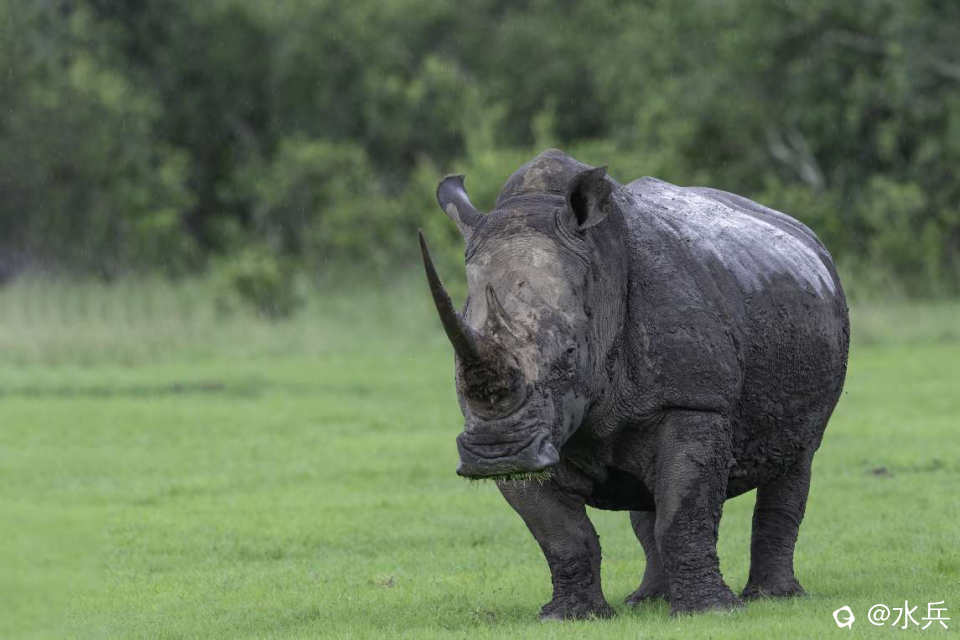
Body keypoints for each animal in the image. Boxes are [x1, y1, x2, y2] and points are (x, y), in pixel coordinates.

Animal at [418, 149, 849, 620]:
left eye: (571, 351)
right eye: (455, 363)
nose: (498, 452)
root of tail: (807, 237)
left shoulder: (695, 401)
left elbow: (683, 512)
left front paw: (711, 612)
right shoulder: (528, 431)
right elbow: (561, 533)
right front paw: (572, 616)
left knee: (796, 459)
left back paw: (772, 597)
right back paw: (648, 600)